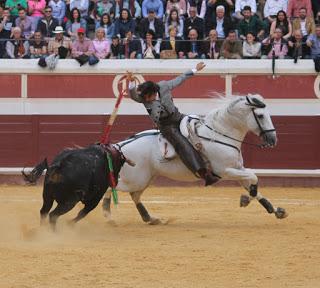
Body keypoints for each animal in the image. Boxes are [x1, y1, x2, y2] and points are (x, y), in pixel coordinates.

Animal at [104, 93, 288, 224]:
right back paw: (108, 213)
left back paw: (150, 218)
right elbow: (253, 176)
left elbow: (251, 182)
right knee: (113, 186)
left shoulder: (237, 169)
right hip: (136, 179)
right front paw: (245, 200)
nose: (273, 139)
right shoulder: (225, 171)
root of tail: (120, 146)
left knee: (134, 195)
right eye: (261, 115)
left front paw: (275, 210)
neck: (220, 134)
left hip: (146, 178)